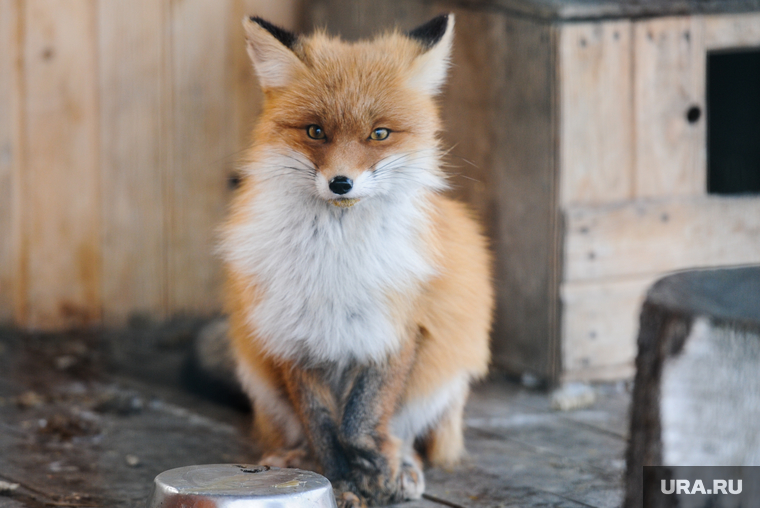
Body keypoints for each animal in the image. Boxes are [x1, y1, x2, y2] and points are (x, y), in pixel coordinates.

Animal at [220, 12, 492, 508]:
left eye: (379, 133)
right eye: (315, 131)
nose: (341, 183)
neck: (336, 261)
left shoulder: (398, 326)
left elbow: (362, 415)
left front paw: (374, 468)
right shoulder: (291, 332)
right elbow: (322, 425)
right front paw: (340, 480)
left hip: (443, 376)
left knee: (408, 435)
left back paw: (403, 467)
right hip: (257, 373)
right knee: (298, 433)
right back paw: (294, 459)